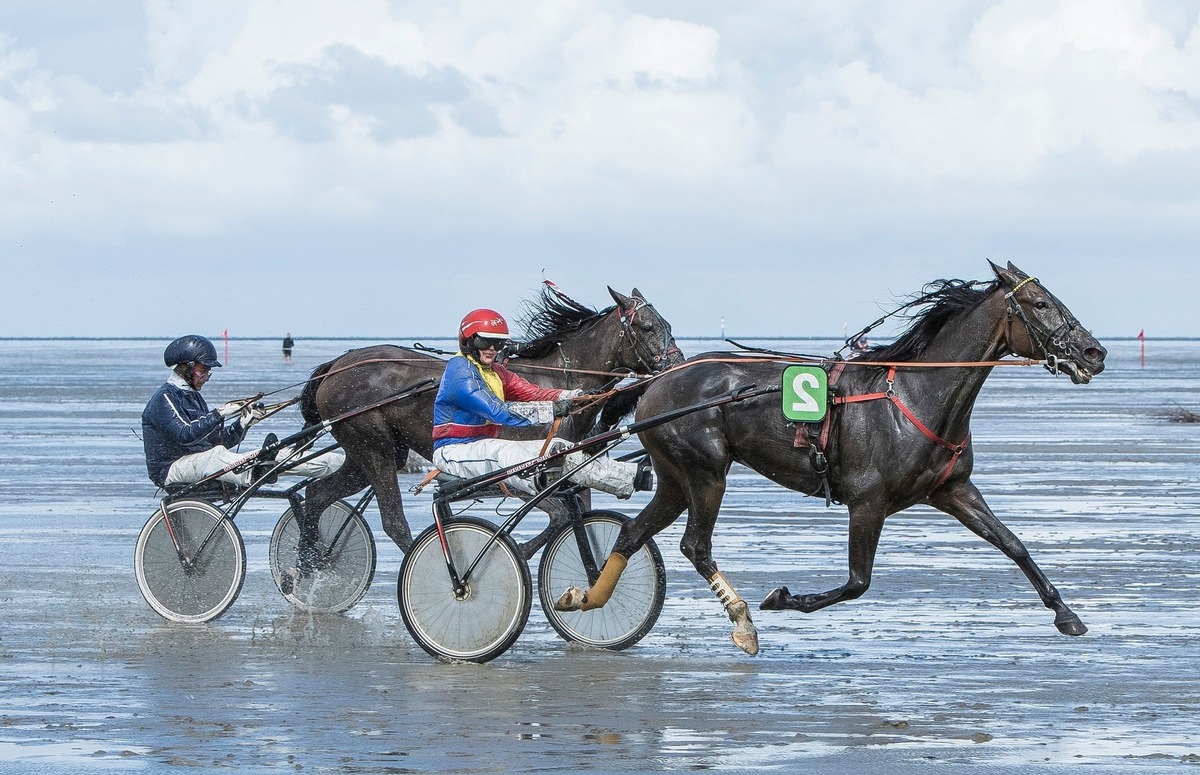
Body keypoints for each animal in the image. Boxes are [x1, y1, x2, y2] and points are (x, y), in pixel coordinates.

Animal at [297, 287, 686, 556]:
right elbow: (560, 517)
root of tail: (335, 366)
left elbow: (578, 515)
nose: (677, 366)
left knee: (316, 494)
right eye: (647, 326)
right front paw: (521, 553)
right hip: (372, 444)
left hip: (374, 450)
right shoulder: (516, 473)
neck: (558, 375)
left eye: (668, 324)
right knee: (393, 521)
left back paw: (307, 566)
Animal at [556, 262, 1108, 657]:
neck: (914, 395)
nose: (1094, 352)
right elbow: (857, 583)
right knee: (695, 545)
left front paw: (1066, 614)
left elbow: (1013, 545)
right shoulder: (868, 502)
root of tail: (659, 379)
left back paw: (584, 598)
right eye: (1040, 303)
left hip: (675, 478)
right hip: (706, 472)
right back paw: (743, 622)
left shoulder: (952, 489)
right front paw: (782, 599)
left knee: (633, 533)